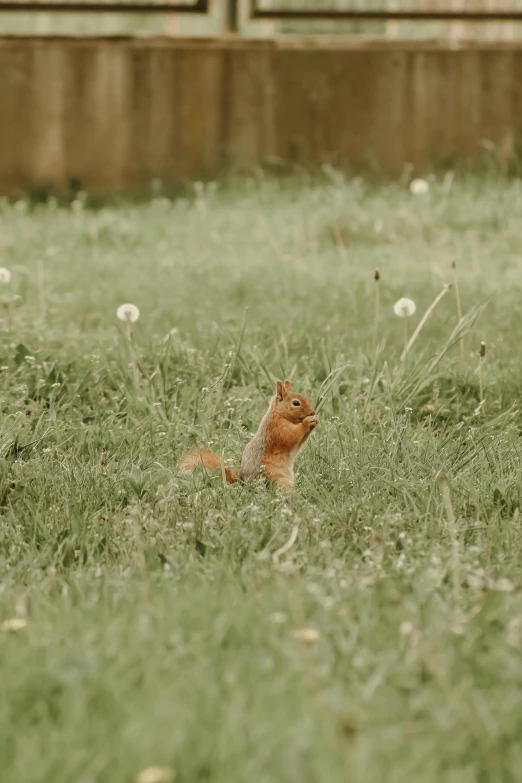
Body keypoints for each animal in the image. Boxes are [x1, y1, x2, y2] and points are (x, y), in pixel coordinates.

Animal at [179, 380, 316, 490]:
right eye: (296, 403)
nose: (313, 412)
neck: (278, 414)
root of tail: (243, 483)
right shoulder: (277, 430)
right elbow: (290, 436)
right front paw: (307, 422)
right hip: (278, 479)